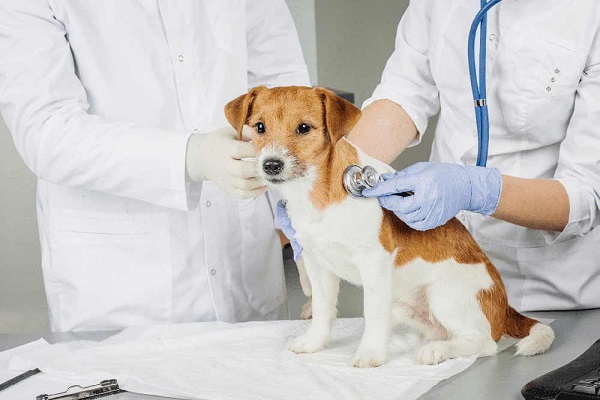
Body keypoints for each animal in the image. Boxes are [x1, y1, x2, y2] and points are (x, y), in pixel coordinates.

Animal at [224, 86, 552, 368]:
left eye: (304, 128)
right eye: (259, 127)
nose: (271, 165)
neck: (317, 196)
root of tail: (505, 305)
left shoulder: (374, 262)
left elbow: (371, 312)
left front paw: (370, 354)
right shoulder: (318, 264)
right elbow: (322, 309)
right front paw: (314, 342)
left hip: (444, 293)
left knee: (484, 342)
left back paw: (438, 351)